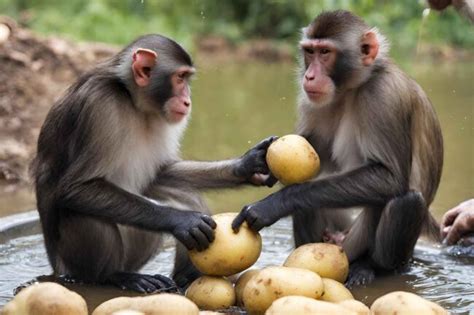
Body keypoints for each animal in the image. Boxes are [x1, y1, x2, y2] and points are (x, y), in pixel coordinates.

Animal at [31, 34, 276, 294]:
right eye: (180, 78)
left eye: (187, 78)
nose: (188, 101)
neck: (132, 100)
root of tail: (56, 268)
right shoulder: (100, 105)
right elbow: (76, 187)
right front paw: (181, 220)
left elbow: (160, 173)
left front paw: (247, 165)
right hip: (69, 264)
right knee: (85, 213)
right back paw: (114, 275)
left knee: (185, 197)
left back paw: (184, 278)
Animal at [233, 10, 444, 286]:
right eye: (310, 52)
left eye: (325, 52)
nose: (309, 76)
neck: (352, 87)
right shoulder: (312, 100)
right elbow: (318, 154)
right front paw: (260, 156)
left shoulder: (382, 97)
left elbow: (390, 177)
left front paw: (275, 203)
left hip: (354, 244)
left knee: (407, 201)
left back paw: (372, 267)